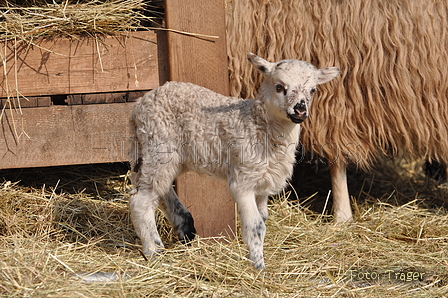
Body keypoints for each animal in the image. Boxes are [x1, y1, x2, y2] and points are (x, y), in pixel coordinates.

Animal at [128, 53, 338, 270]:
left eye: (313, 90)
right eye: (279, 86)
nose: (300, 110)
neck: (258, 125)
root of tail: (140, 105)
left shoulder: (264, 182)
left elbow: (263, 218)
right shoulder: (243, 179)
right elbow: (255, 224)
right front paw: (258, 264)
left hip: (161, 155)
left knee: (160, 189)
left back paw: (184, 227)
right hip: (159, 146)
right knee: (141, 200)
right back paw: (154, 250)